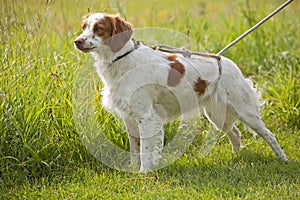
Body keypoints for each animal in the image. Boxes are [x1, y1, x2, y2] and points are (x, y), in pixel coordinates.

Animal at [74, 12, 288, 172]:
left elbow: (145, 149)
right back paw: (237, 155)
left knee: (269, 135)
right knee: (234, 132)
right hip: (215, 114)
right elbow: (135, 148)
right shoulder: (129, 116)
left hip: (245, 111)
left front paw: (144, 172)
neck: (121, 60)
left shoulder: (147, 117)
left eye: (98, 28)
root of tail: (227, 62)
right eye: (84, 27)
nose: (77, 41)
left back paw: (283, 159)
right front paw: (134, 169)